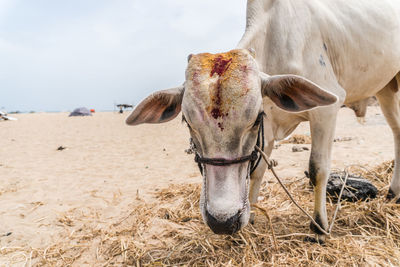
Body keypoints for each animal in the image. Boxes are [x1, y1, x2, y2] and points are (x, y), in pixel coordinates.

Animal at [127, 0, 400, 243]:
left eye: (254, 119)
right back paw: (393, 192)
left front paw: (319, 227)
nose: (222, 221)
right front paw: (250, 219)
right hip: (385, 88)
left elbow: (318, 169)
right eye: (187, 121)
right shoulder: (267, 127)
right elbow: (257, 170)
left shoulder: (327, 109)